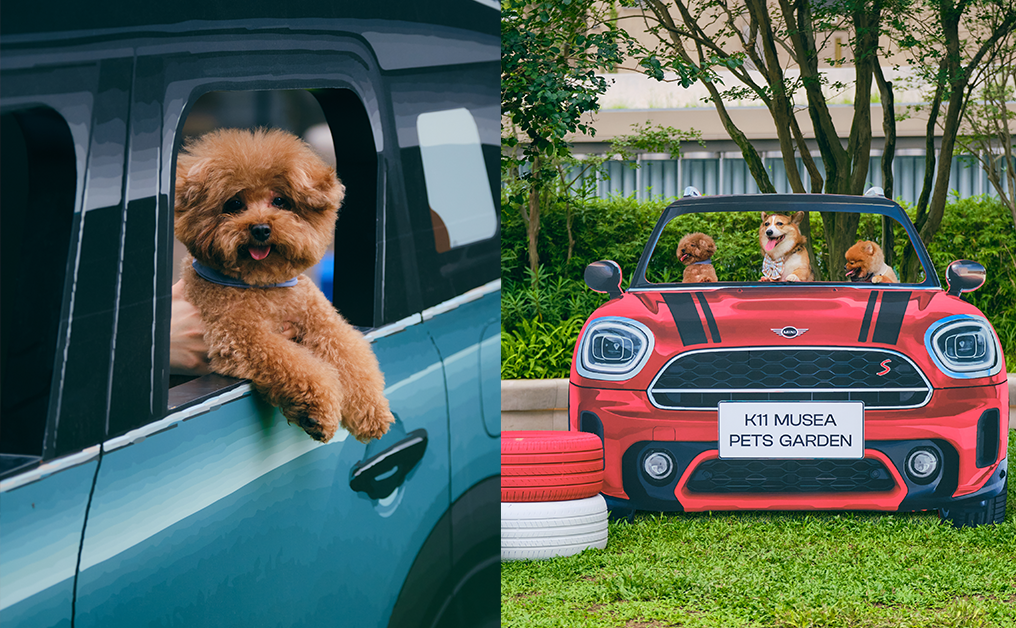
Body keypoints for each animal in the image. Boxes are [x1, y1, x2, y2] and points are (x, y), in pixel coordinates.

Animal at [174, 126, 392, 441]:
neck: (263, 286)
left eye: (280, 201)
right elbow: (294, 363)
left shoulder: (323, 322)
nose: (260, 228)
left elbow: (350, 356)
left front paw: (371, 410)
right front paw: (318, 409)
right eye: (235, 204)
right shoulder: (244, 336)